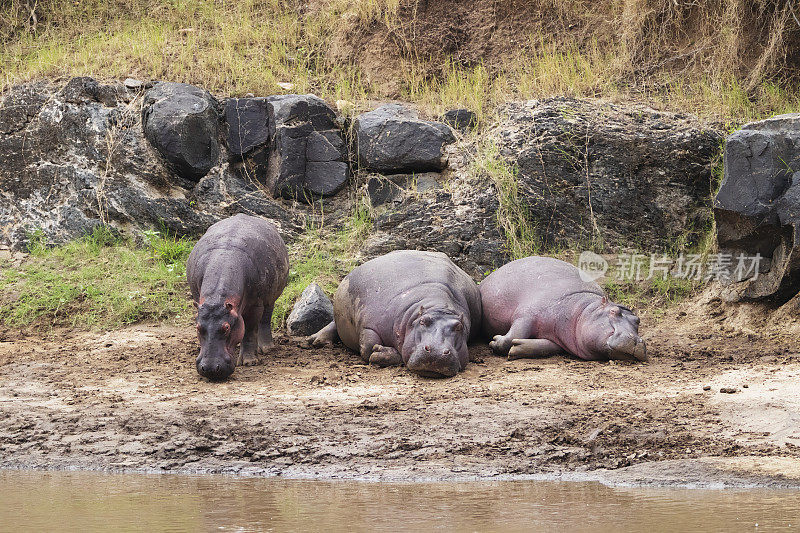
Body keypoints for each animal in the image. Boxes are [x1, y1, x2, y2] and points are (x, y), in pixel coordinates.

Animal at [186, 214, 290, 380]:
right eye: (197, 327)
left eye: (226, 327)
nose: (210, 369)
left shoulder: (255, 305)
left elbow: (250, 330)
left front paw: (249, 362)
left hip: (271, 296)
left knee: (266, 319)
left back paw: (266, 348)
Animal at [308, 251, 482, 376]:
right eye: (423, 321)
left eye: (459, 327)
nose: (437, 351)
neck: (436, 304)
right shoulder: (370, 325)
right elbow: (368, 347)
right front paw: (378, 351)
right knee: (333, 323)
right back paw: (316, 341)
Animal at [478, 255, 648, 362]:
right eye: (613, 311)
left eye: (638, 320)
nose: (636, 341)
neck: (583, 309)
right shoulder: (526, 315)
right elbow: (514, 335)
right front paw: (495, 341)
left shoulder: (557, 339)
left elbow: (545, 347)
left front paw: (516, 348)